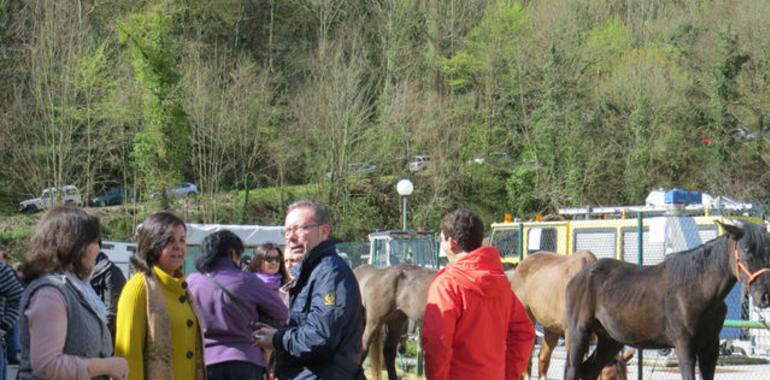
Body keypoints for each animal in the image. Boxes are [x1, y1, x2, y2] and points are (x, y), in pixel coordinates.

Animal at [560, 220, 768, 380]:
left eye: (767, 252)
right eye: (747, 250)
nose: (764, 296)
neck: (698, 289)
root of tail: (578, 277)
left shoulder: (711, 349)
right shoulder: (684, 346)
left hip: (610, 340)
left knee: (590, 371)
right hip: (579, 332)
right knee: (573, 370)